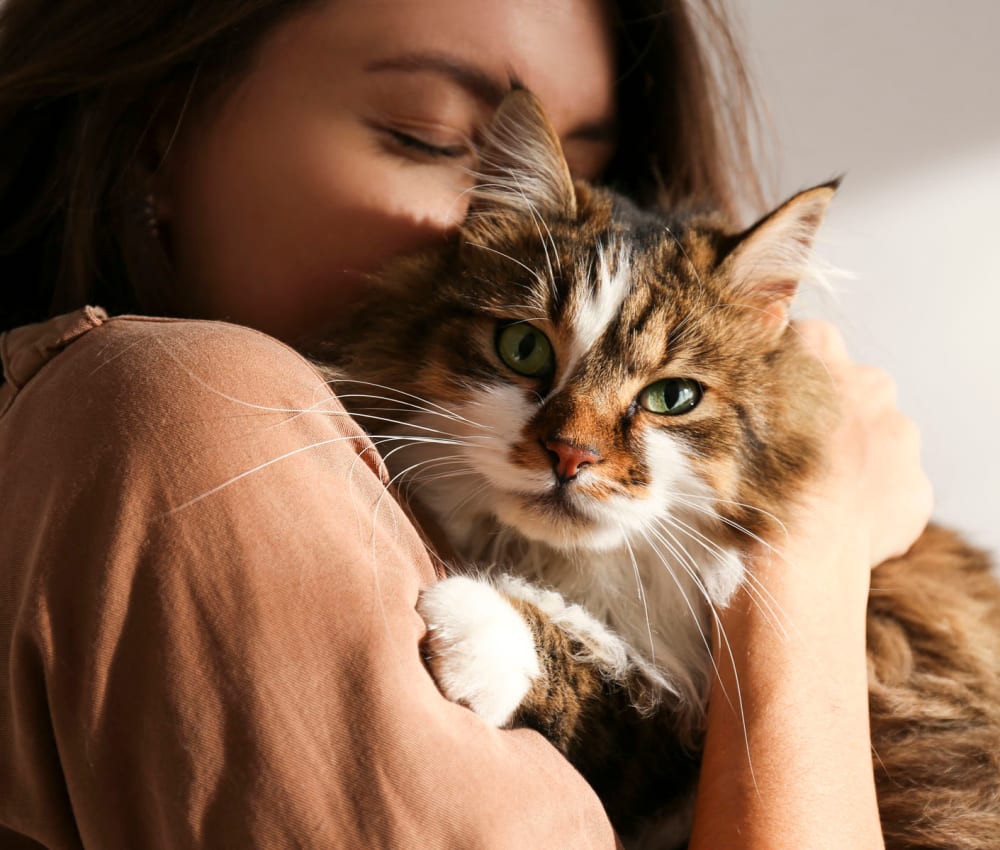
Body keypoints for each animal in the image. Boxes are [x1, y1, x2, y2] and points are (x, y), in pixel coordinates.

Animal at [318, 89, 1000, 844]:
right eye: (523, 348)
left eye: (671, 398)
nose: (570, 454)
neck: (576, 572)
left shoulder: (677, 738)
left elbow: (609, 684)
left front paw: (481, 627)